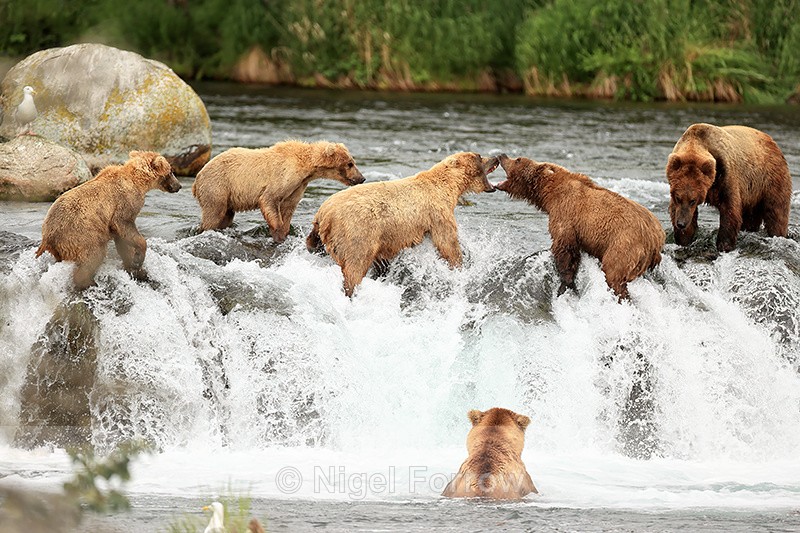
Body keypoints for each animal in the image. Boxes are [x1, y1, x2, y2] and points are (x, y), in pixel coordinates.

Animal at [36, 151, 181, 290]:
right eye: (171, 171)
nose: (179, 186)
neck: (138, 181)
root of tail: (47, 237)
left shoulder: (113, 223)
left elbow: (123, 242)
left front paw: (137, 269)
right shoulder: (124, 203)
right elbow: (125, 225)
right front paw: (138, 260)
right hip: (80, 233)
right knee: (93, 255)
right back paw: (90, 283)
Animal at [192, 140, 365, 241]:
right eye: (350, 163)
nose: (361, 178)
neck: (306, 169)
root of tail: (197, 178)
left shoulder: (297, 186)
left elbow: (288, 207)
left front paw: (284, 231)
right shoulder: (283, 177)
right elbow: (269, 200)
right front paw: (278, 233)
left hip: (228, 196)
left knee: (226, 215)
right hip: (217, 186)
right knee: (214, 213)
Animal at [306, 152, 498, 296]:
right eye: (479, 156)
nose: (496, 157)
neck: (449, 188)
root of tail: (323, 213)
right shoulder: (437, 214)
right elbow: (447, 244)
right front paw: (460, 265)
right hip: (357, 233)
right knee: (355, 266)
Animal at [496, 154, 665, 300]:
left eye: (518, 159)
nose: (501, 155)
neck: (548, 194)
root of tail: (657, 238)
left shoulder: (566, 213)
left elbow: (565, 247)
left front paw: (565, 284)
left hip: (624, 244)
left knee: (613, 273)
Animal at [666, 123, 792, 252]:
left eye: (693, 200)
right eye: (678, 198)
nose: (681, 223)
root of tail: (772, 141)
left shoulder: (726, 176)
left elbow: (730, 210)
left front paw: (724, 245)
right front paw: (683, 239)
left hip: (769, 180)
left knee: (776, 213)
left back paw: (778, 234)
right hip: (751, 195)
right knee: (751, 217)